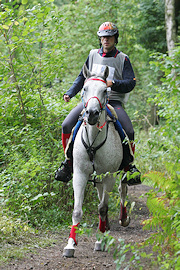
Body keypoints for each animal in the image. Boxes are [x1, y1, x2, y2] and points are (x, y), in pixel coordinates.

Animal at [63, 63, 129, 258]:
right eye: (84, 88)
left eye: (105, 90)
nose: (91, 113)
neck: (93, 141)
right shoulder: (80, 174)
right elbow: (77, 210)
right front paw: (70, 244)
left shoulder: (109, 176)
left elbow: (102, 208)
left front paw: (100, 240)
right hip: (98, 178)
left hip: (120, 173)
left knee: (122, 191)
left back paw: (122, 220)